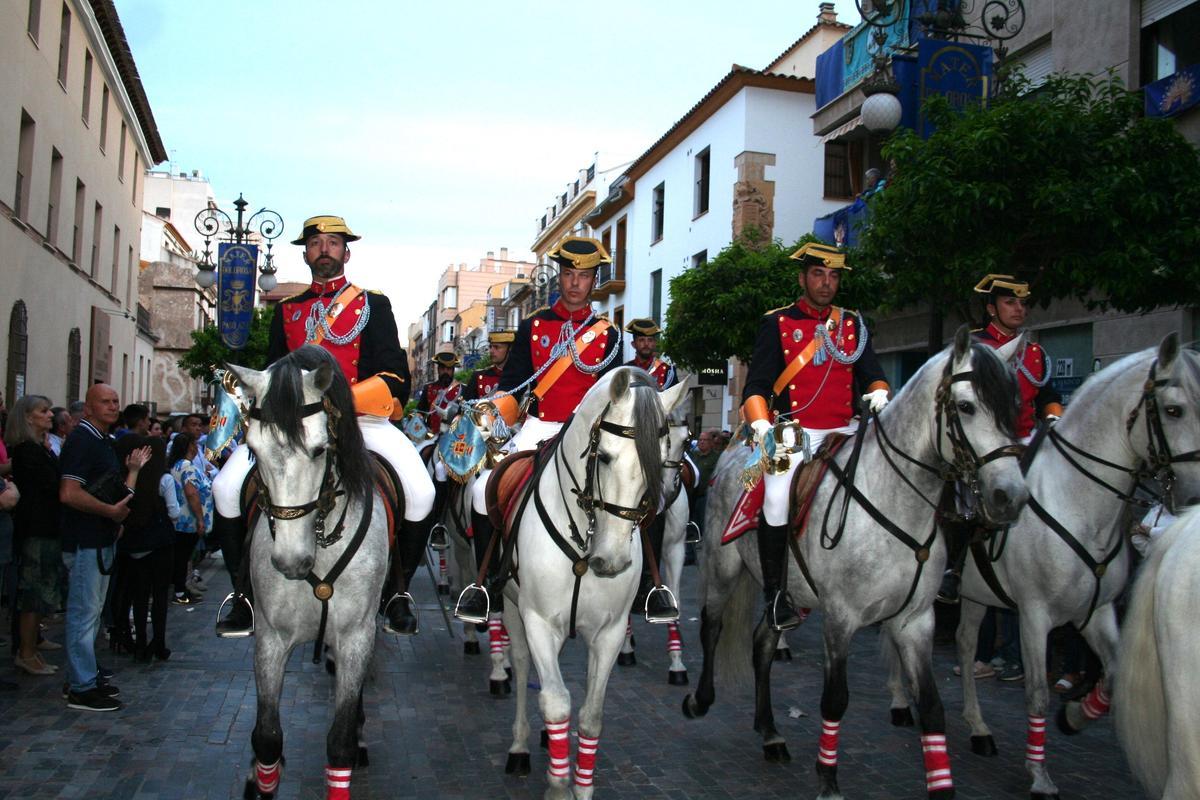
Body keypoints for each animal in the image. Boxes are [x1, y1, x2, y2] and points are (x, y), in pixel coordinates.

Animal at [229, 347, 388, 800]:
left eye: (319, 450)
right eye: (252, 447)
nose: (289, 562)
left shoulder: (356, 636)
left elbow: (340, 743)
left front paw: (353, 738)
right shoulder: (270, 637)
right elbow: (267, 736)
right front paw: (260, 778)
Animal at [496, 371, 686, 800]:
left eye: (657, 460)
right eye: (605, 458)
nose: (611, 561)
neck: (585, 543)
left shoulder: (609, 632)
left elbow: (591, 715)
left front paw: (580, 785)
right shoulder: (538, 622)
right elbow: (556, 702)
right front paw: (558, 785)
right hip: (512, 608)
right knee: (521, 662)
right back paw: (519, 745)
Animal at [681, 328, 1027, 796]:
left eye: (1015, 405)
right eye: (967, 406)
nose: (1011, 497)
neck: (894, 501)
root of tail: (736, 455)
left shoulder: (915, 620)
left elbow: (931, 706)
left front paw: (941, 782)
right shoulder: (841, 617)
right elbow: (835, 699)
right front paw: (828, 778)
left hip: (790, 592)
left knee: (763, 642)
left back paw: (770, 732)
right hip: (723, 570)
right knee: (712, 627)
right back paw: (700, 700)